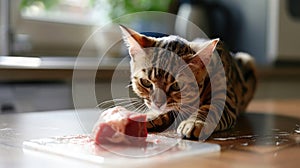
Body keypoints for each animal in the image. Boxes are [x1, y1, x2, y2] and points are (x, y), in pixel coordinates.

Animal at [119, 25, 255, 140]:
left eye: (176, 85)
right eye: (146, 82)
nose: (158, 103)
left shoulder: (226, 102)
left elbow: (208, 109)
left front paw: (193, 122)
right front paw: (148, 115)